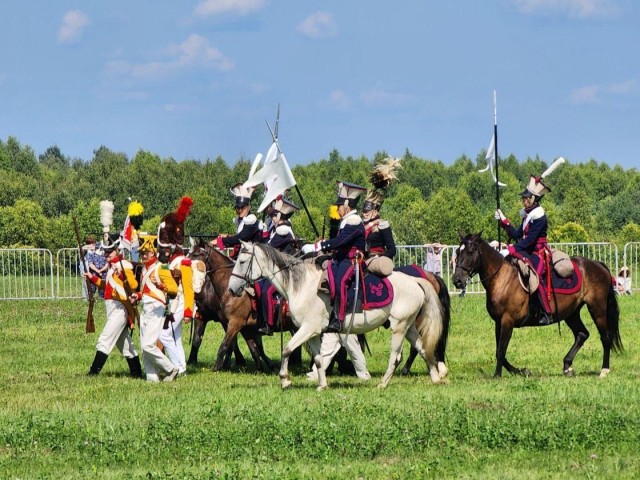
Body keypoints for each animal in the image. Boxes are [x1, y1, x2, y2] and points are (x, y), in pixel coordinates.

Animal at [229, 244, 444, 390]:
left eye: (242, 261)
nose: (232, 289)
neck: (302, 285)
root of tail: (416, 280)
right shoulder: (314, 333)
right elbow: (318, 359)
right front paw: (322, 385)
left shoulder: (307, 329)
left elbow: (287, 350)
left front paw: (285, 380)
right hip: (409, 327)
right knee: (423, 348)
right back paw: (435, 378)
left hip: (399, 326)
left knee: (396, 356)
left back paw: (383, 383)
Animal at [452, 233, 624, 378]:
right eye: (457, 253)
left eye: (470, 252)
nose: (457, 280)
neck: (502, 278)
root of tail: (598, 265)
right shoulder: (499, 322)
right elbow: (499, 351)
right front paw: (521, 371)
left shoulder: (507, 321)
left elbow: (501, 351)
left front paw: (497, 375)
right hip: (571, 313)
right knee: (582, 334)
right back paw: (567, 366)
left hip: (597, 308)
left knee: (605, 337)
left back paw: (604, 370)